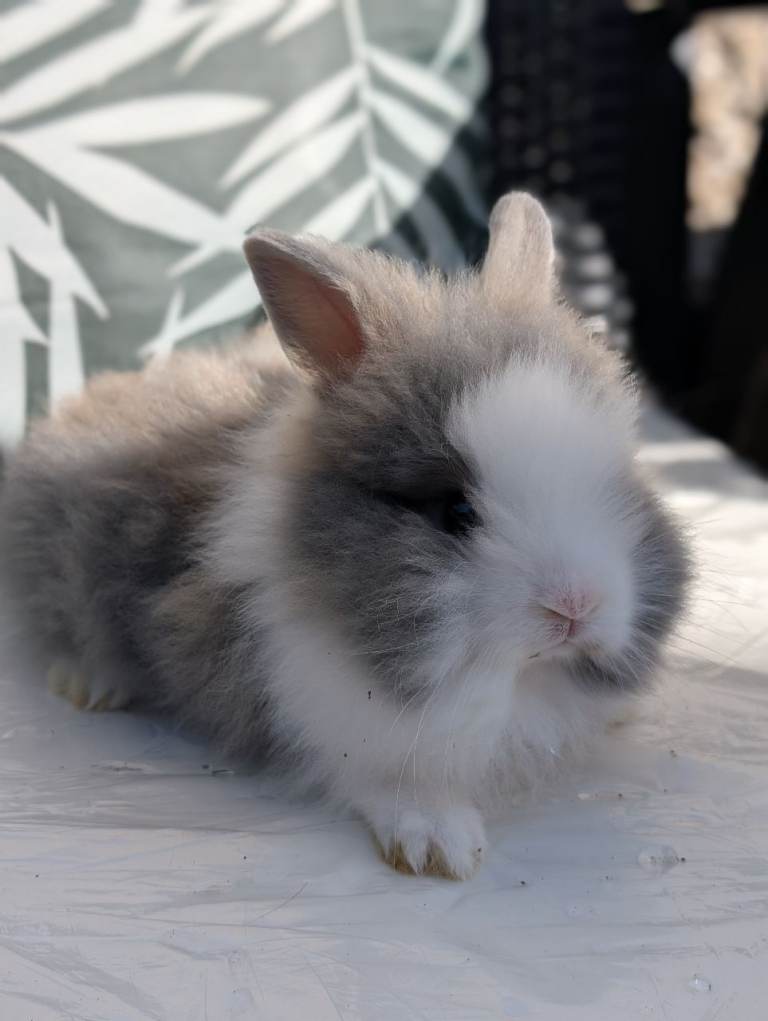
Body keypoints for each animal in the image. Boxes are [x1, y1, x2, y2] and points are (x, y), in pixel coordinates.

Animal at [0, 193, 690, 879]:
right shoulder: (334, 719)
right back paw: (90, 684)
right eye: (454, 511)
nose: (575, 608)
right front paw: (438, 844)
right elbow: (396, 781)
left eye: (616, 481)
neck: (516, 680)